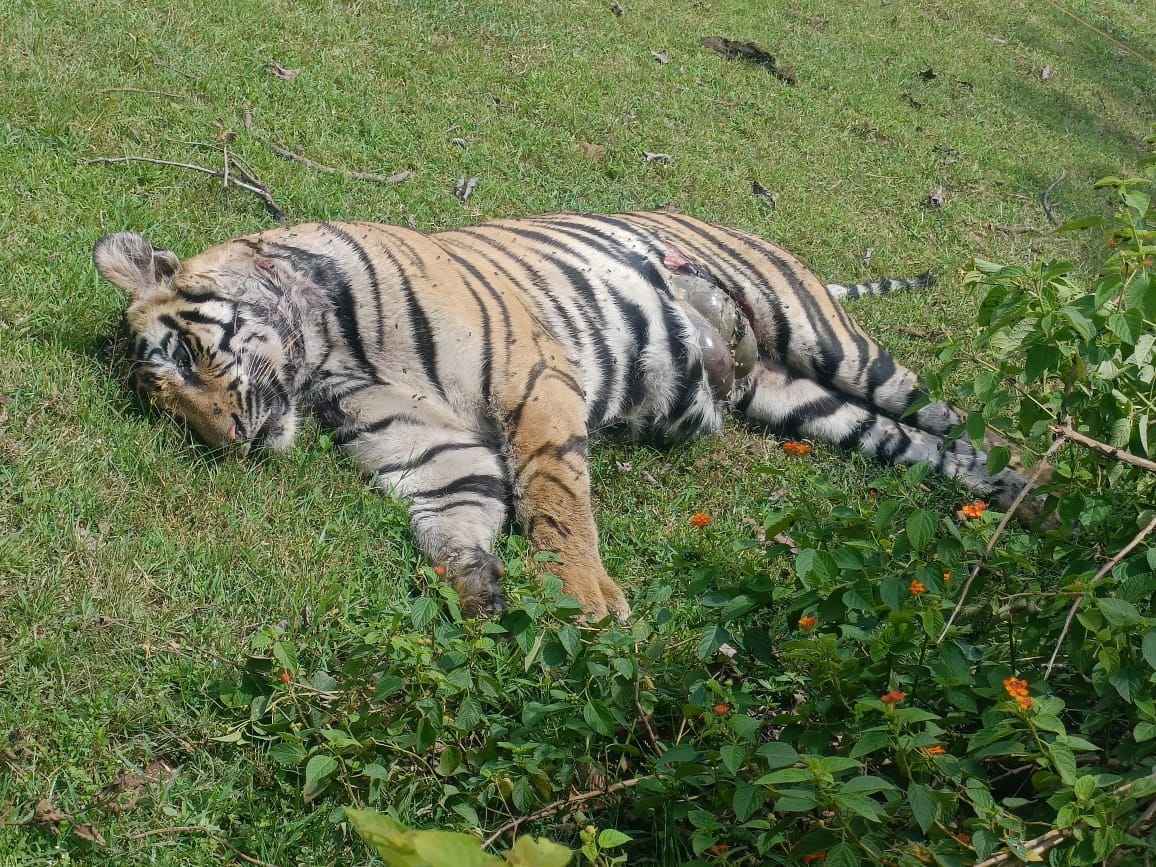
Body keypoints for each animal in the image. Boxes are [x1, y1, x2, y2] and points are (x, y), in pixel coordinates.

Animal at [93, 212, 1044, 620]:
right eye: (171, 414)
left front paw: (582, 594)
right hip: (803, 402)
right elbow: (457, 508)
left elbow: (555, 495)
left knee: (953, 414)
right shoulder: (427, 447)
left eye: (186, 362)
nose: (231, 440)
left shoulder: (531, 377)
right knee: (925, 446)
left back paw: (1047, 478)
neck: (323, 354)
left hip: (829, 339)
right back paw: (1022, 500)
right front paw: (474, 581)